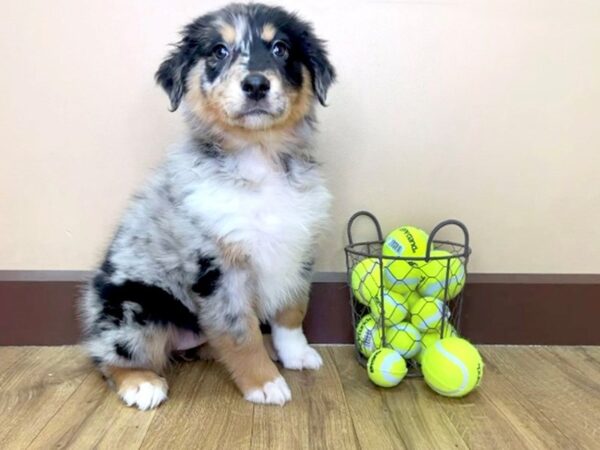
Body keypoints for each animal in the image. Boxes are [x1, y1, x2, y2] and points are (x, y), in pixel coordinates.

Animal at [77, 3, 336, 410]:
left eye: (280, 48)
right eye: (219, 51)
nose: (256, 85)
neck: (258, 157)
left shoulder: (298, 246)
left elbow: (292, 309)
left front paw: (296, 353)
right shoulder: (217, 267)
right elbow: (239, 332)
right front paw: (264, 383)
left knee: (206, 342)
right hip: (134, 310)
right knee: (107, 357)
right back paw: (141, 383)